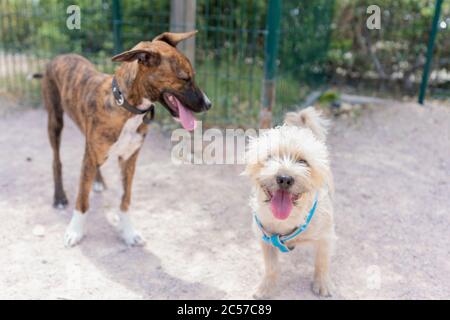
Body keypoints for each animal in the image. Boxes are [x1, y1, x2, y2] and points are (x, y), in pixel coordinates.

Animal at [41, 31, 210, 248]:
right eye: (185, 78)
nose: (209, 104)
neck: (126, 106)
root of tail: (59, 57)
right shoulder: (94, 154)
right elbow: (82, 199)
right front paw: (75, 230)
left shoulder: (129, 159)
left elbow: (125, 199)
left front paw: (128, 232)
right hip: (55, 121)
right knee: (57, 161)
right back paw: (60, 197)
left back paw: (97, 181)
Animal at [244, 107, 336, 298]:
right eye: (270, 158)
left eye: (303, 161)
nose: (284, 178)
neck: (286, 220)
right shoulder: (265, 240)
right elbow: (271, 267)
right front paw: (266, 288)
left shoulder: (326, 237)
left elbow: (322, 261)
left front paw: (322, 283)